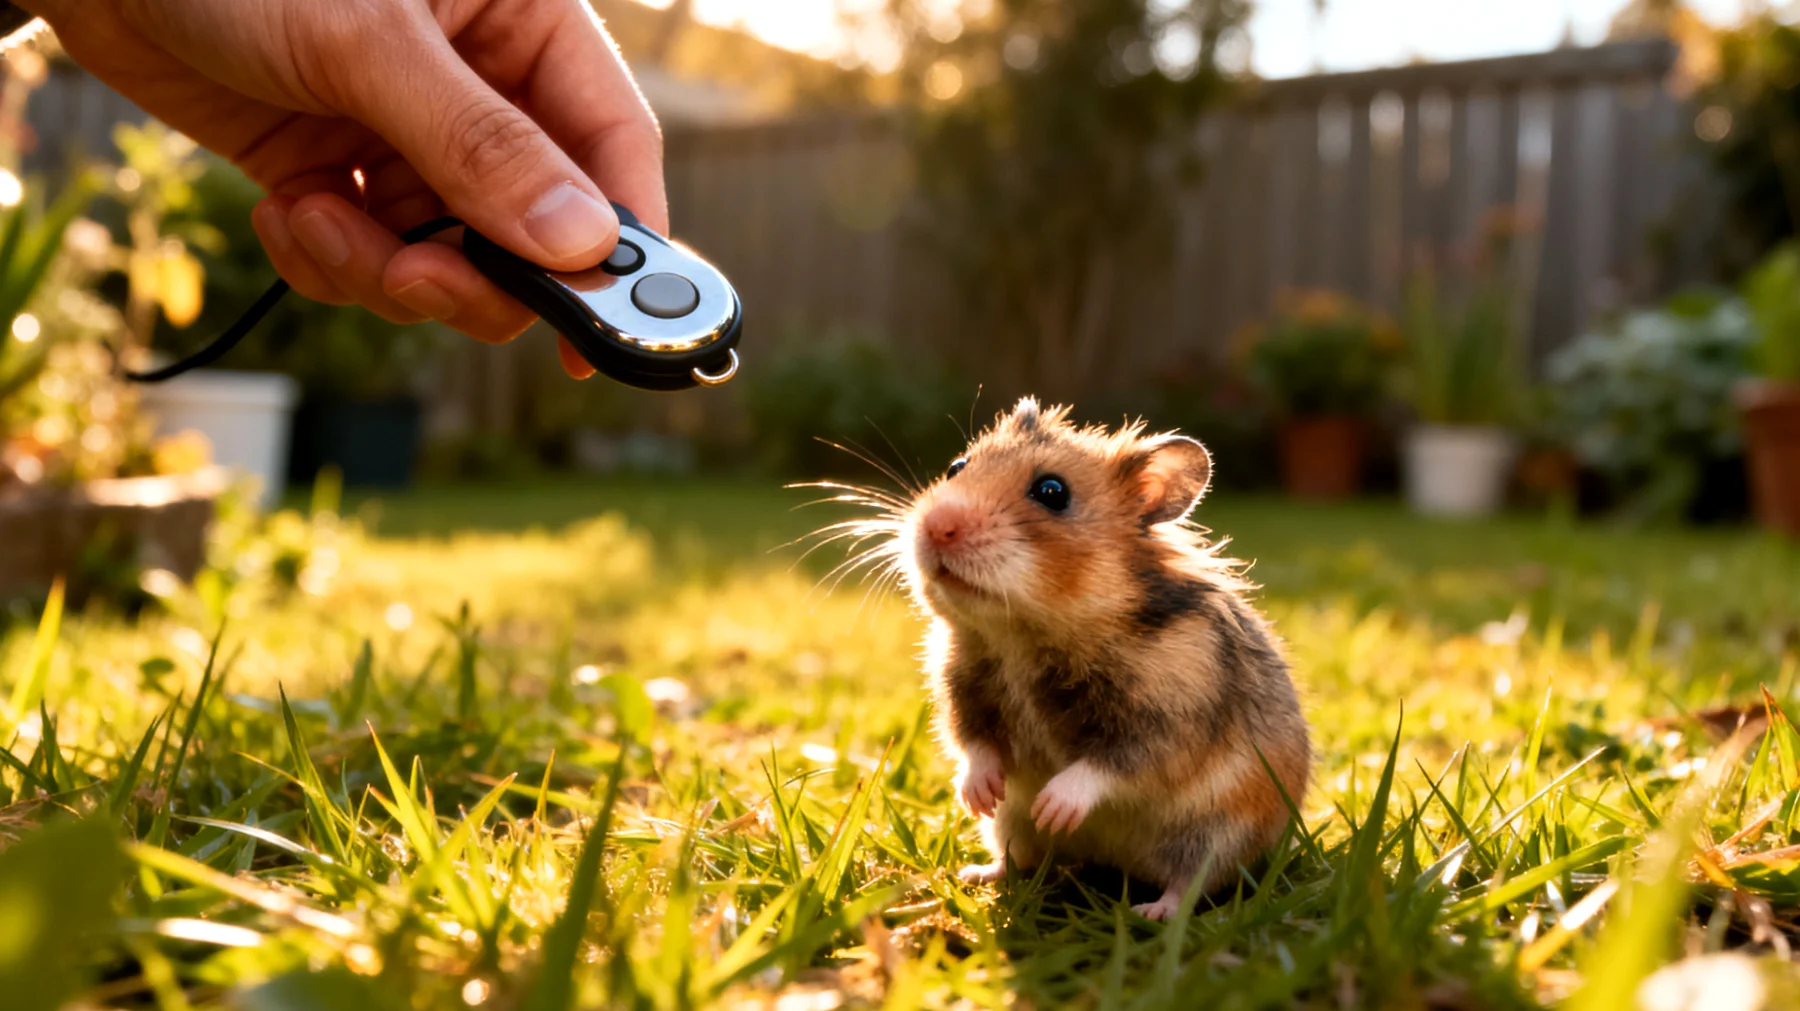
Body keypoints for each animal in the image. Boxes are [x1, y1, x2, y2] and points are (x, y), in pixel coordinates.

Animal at [889, 397, 1311, 921]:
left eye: (1052, 492)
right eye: (956, 467)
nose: (936, 527)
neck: (1019, 637)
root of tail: (1113, 863)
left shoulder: (1167, 721)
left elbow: (1106, 767)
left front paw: (1052, 807)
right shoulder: (959, 693)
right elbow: (973, 744)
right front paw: (977, 797)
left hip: (1217, 833)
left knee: (1192, 883)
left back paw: (1150, 912)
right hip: (1010, 827)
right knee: (1021, 858)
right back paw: (975, 873)